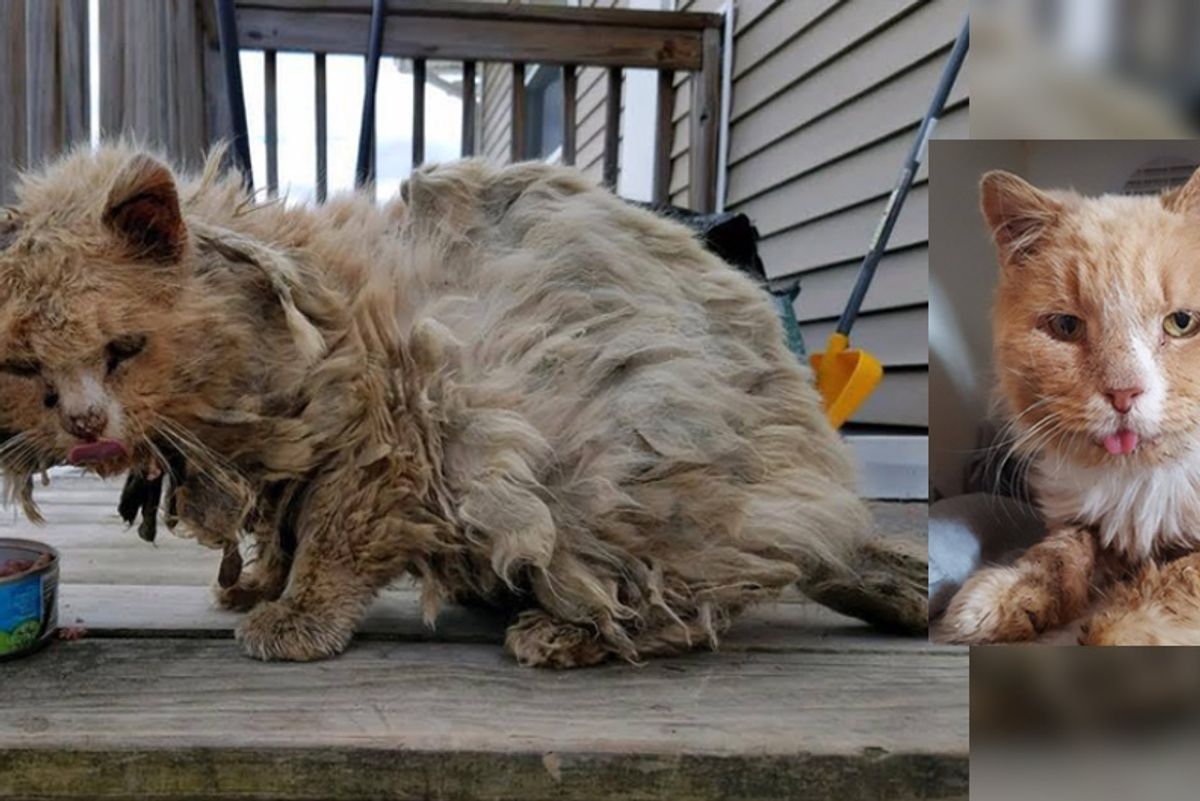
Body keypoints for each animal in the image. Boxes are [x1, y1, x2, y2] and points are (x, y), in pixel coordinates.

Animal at [940, 167, 1200, 642]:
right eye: (1066, 326)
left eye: (1181, 323)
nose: (1123, 393)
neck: (1140, 483)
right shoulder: (1083, 521)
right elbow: (1056, 554)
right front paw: (1005, 597)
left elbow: (1177, 577)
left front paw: (1123, 626)